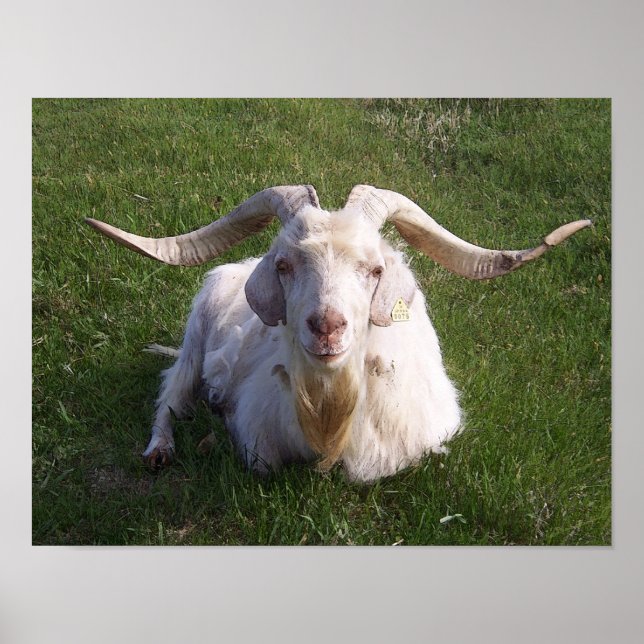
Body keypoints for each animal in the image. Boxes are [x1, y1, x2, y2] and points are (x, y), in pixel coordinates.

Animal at [86, 185, 590, 482]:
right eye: (284, 265)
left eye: (375, 270)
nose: (327, 326)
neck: (332, 412)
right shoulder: (258, 437)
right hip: (194, 340)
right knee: (171, 394)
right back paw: (159, 450)